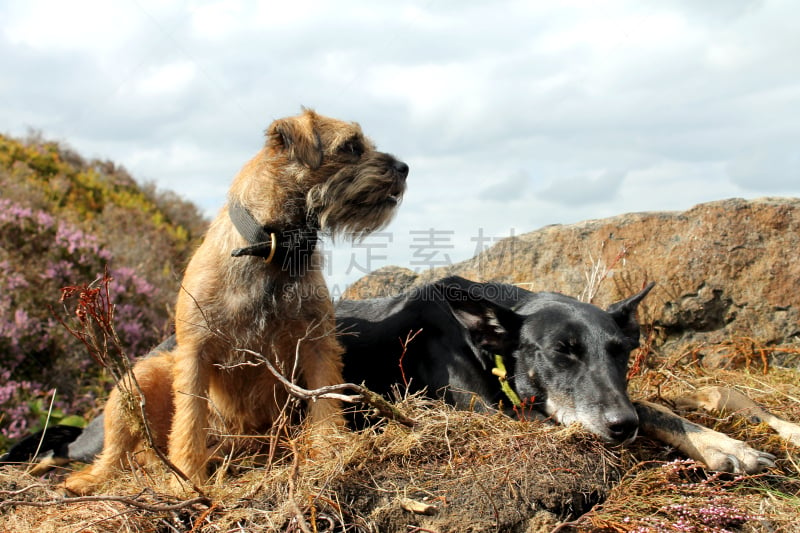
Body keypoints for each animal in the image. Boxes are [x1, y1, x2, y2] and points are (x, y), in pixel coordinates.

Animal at [64, 109, 406, 494]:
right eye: (351, 146)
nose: (404, 168)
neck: (273, 248)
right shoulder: (195, 353)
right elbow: (188, 423)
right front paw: (187, 480)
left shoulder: (318, 345)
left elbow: (326, 401)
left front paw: (329, 448)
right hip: (136, 382)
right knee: (115, 454)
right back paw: (91, 479)